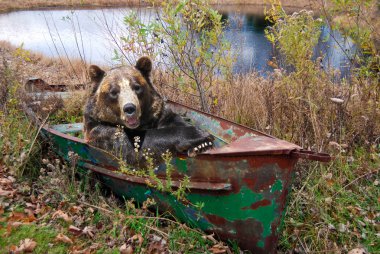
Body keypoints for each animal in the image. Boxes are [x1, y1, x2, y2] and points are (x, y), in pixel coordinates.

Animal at [84, 56, 214, 166]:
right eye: (113, 92)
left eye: (137, 87)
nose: (130, 108)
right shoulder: (99, 130)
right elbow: (135, 145)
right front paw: (197, 134)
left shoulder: (157, 113)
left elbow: (174, 119)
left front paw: (201, 144)